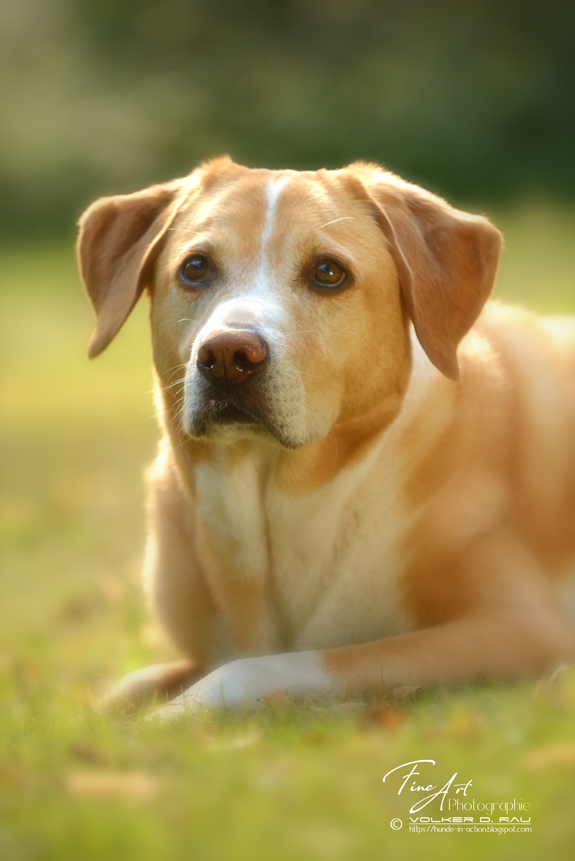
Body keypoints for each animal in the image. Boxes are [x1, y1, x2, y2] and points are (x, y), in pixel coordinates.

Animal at [77, 158, 575, 716]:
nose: (227, 355)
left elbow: (271, 665)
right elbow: (125, 688)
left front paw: (174, 715)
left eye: (328, 273)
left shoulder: (523, 628)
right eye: (196, 268)